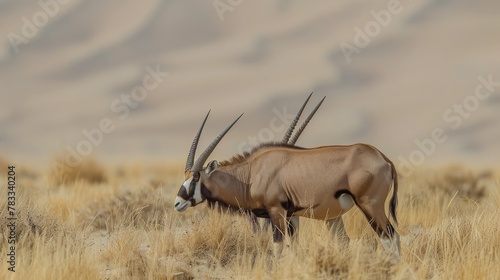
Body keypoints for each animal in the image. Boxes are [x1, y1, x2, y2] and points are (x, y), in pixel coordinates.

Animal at [174, 97, 400, 258]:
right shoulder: (292, 215)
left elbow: (278, 247)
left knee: (390, 237)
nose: (177, 203)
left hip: (370, 206)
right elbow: (294, 247)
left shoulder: (277, 211)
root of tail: (383, 158)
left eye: (196, 177)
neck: (251, 173)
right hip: (339, 216)